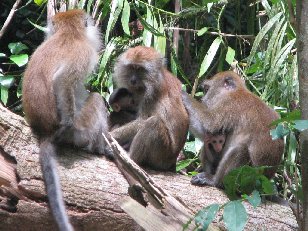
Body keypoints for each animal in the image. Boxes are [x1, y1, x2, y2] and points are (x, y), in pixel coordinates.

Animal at [22, 9, 112, 231]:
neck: (69, 33)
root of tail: (45, 131)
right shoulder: (83, 51)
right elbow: (63, 81)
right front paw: (66, 126)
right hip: (81, 131)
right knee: (95, 100)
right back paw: (99, 148)